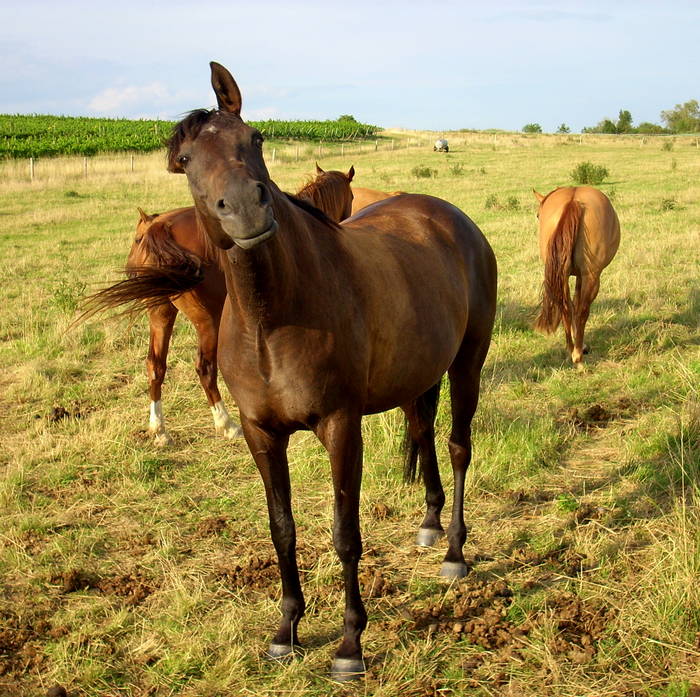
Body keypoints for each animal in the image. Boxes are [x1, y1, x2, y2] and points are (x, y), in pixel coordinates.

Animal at [79, 166, 356, 444]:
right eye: (352, 197)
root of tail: (159, 228)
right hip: (207, 322)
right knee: (205, 369)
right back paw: (226, 424)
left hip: (160, 313)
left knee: (155, 365)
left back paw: (159, 429)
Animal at [120, 62, 494, 676]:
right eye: (186, 160)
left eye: (255, 139)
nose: (246, 208)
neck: (272, 321)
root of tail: (449, 217)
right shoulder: (262, 433)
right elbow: (282, 528)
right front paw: (286, 630)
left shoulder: (341, 427)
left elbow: (345, 533)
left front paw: (349, 644)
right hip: (417, 375)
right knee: (424, 433)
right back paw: (429, 523)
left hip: (468, 362)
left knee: (459, 445)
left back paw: (455, 551)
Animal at [532, 185, 620, 370]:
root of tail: (573, 201)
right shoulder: (583, 276)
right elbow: (578, 303)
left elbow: (572, 303)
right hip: (591, 276)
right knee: (581, 311)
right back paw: (578, 356)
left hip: (563, 275)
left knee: (566, 308)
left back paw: (571, 351)